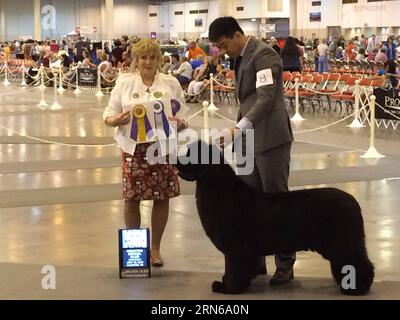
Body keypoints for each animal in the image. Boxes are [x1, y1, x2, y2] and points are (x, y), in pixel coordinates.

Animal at [177, 141, 374, 296]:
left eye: (189, 154)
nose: (175, 160)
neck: (221, 191)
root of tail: (353, 201)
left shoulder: (237, 247)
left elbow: (234, 268)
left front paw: (228, 288)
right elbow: (230, 267)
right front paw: (225, 283)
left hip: (343, 242)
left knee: (357, 261)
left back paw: (357, 289)